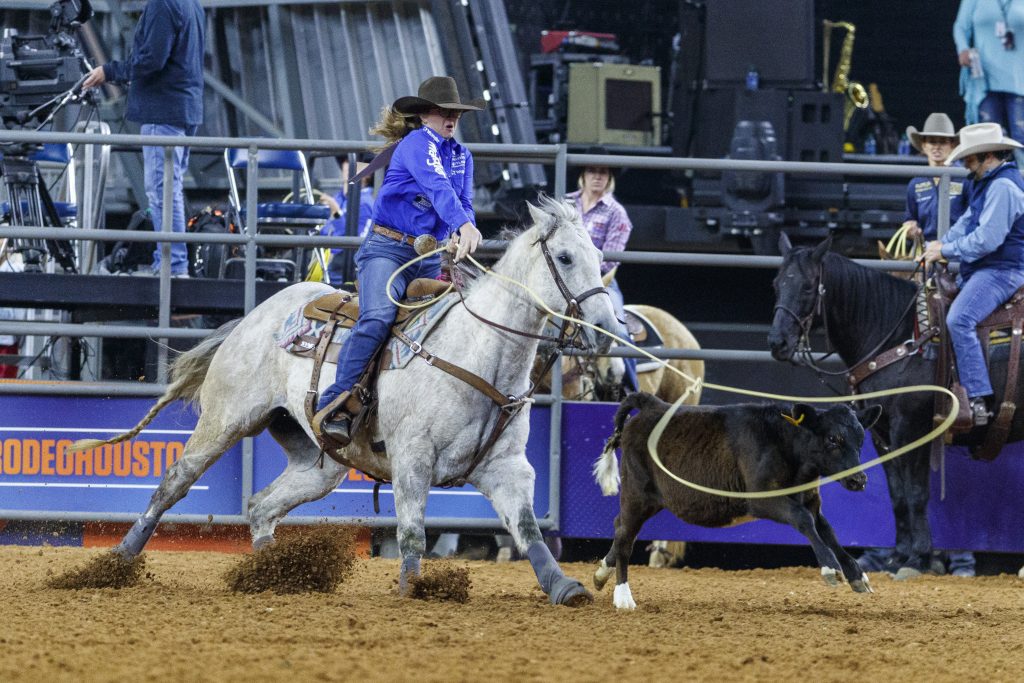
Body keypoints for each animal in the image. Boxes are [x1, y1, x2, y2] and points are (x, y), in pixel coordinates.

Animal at [77, 196, 614, 602]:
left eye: (600, 257)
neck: (478, 351)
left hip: (317, 462)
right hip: (225, 421)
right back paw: (116, 563)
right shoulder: (412, 459)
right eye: (566, 257)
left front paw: (565, 588)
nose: (605, 329)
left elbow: (528, 531)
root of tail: (253, 318)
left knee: (261, 506)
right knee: (173, 484)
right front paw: (413, 589)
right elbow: (413, 533)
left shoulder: (507, 468)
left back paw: (271, 575)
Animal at [770, 233, 1024, 577]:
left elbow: (915, 493)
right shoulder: (881, 433)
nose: (777, 342)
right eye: (776, 283)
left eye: (809, 287)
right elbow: (897, 495)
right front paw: (899, 556)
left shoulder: (911, 428)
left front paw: (918, 559)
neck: (895, 336)